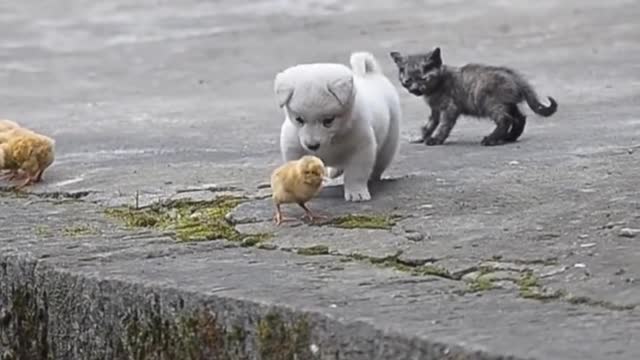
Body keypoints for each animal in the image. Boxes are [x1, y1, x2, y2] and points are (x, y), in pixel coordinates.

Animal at [274, 52, 400, 201]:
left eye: (328, 120)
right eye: (299, 119)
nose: (312, 146)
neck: (333, 140)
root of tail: (371, 73)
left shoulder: (362, 148)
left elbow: (355, 173)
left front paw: (356, 192)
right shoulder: (294, 147)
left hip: (388, 144)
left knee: (378, 165)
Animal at [388, 48, 556, 146]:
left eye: (423, 79)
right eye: (408, 81)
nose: (414, 89)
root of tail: (514, 75)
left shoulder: (449, 108)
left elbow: (444, 125)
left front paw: (436, 139)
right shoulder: (435, 110)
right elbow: (429, 125)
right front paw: (421, 137)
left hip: (490, 103)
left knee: (505, 119)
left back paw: (491, 139)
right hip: (508, 103)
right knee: (520, 118)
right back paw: (509, 137)